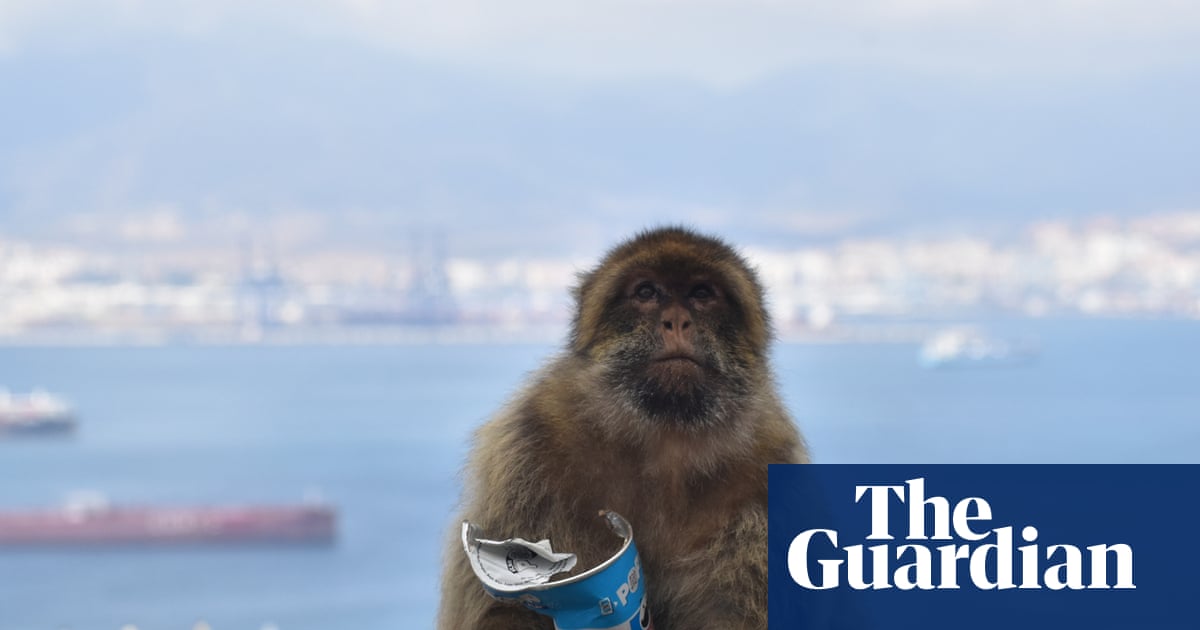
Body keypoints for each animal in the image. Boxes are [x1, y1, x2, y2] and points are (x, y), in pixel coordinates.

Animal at [438, 227, 808, 629]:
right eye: (646, 292)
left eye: (702, 294)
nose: (676, 320)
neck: (664, 437)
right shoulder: (526, 451)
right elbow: (503, 609)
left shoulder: (771, 482)